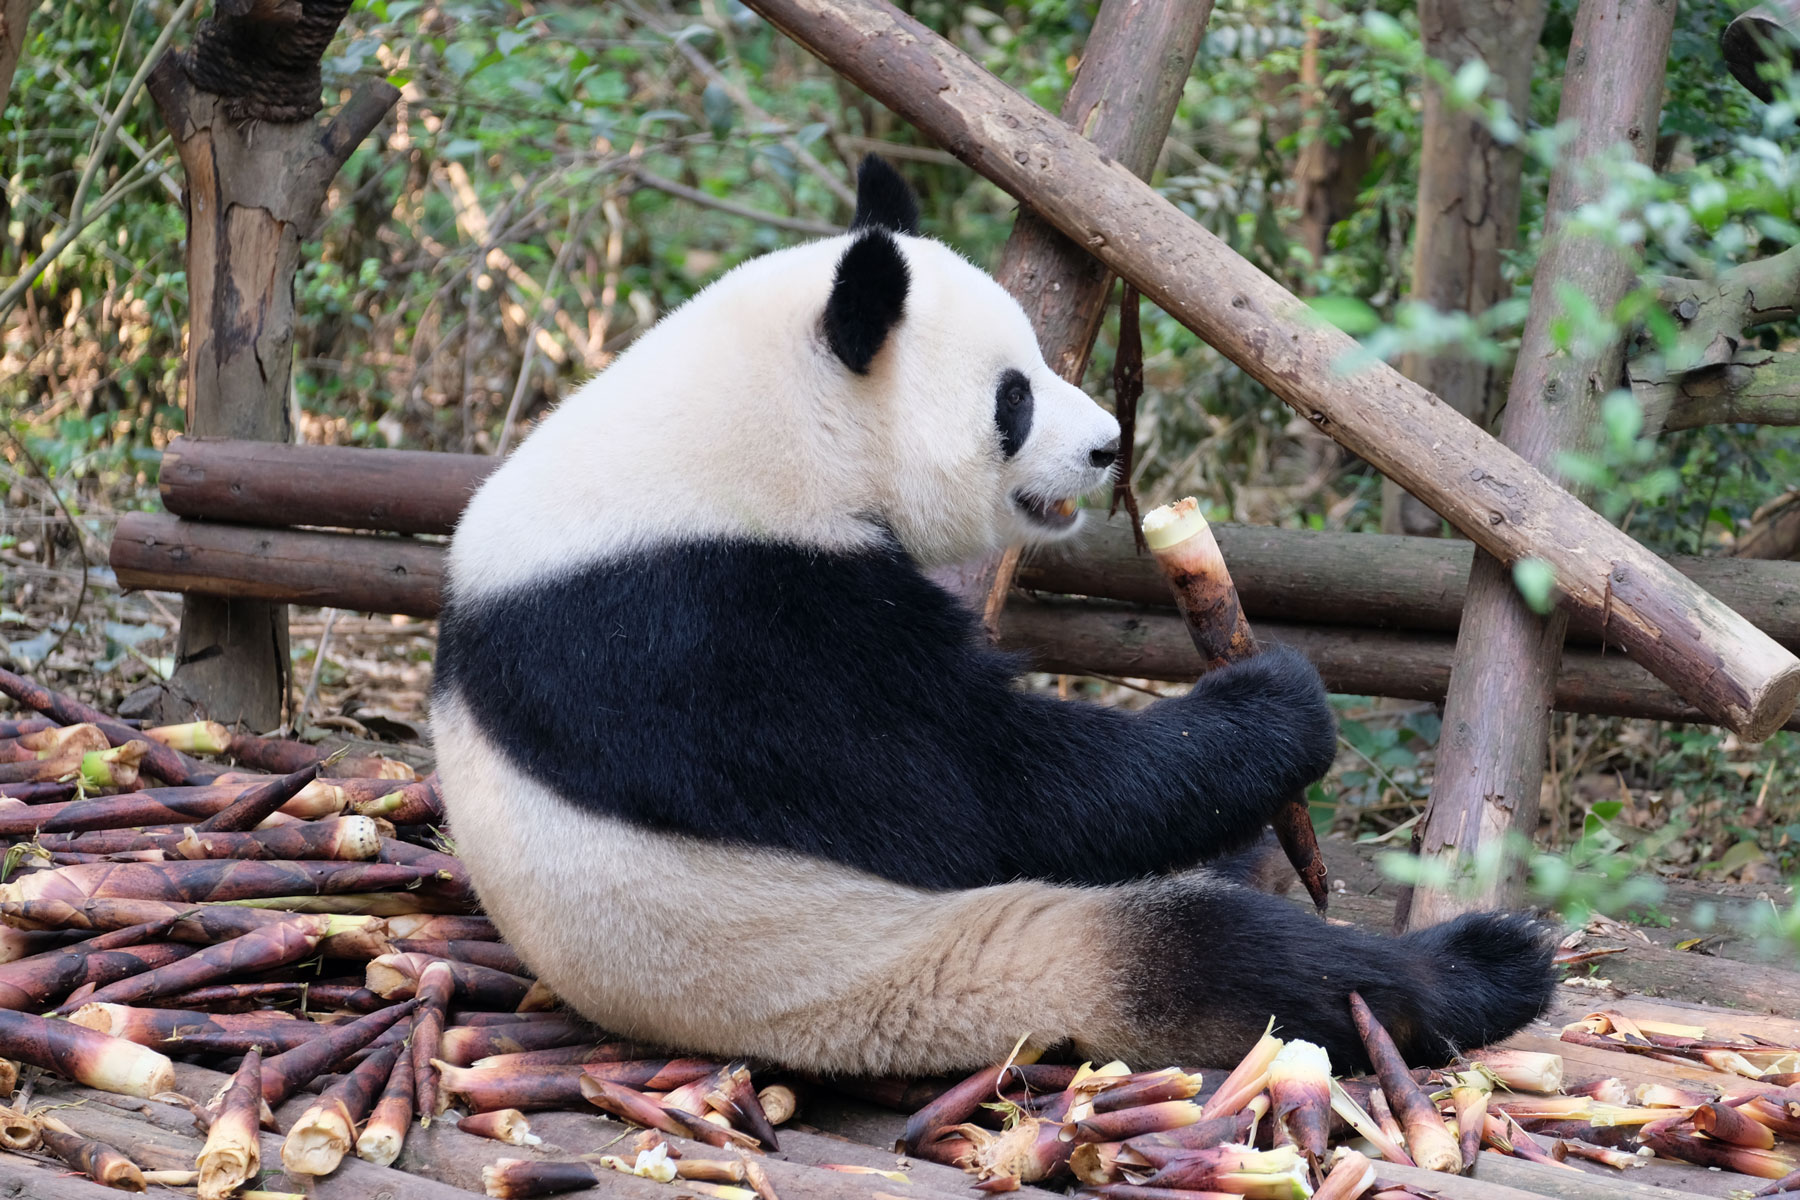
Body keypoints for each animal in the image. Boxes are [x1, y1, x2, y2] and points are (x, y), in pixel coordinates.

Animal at [428, 154, 1555, 1072]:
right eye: (1014, 397)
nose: (1108, 447)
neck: (750, 429)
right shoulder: (709, 626)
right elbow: (980, 788)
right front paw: (1278, 701)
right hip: (914, 959)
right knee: (1243, 966)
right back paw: (1484, 966)